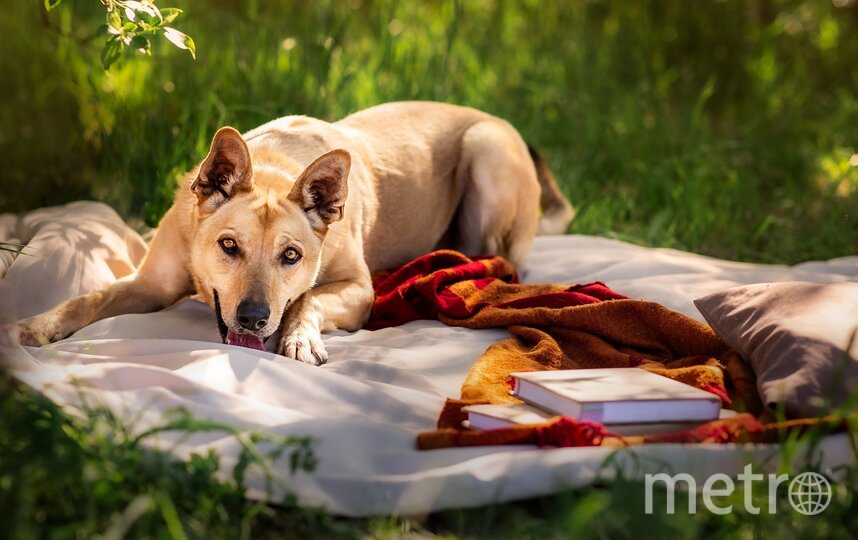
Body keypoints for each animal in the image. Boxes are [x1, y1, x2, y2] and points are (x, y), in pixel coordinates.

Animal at [13, 100, 572, 364]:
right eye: (228, 245)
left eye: (291, 256)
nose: (254, 319)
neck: (272, 168)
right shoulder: (149, 285)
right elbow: (88, 298)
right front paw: (37, 325)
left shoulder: (359, 290)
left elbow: (309, 299)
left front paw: (299, 338)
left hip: (487, 151)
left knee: (500, 260)